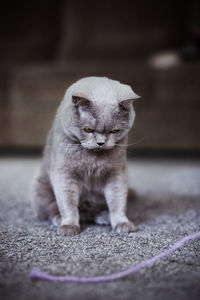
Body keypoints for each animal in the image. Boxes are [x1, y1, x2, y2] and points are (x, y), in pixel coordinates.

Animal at [32, 76, 140, 236]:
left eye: (114, 131)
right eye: (88, 129)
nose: (101, 142)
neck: (92, 159)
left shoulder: (117, 173)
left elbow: (117, 199)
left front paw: (122, 223)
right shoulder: (64, 172)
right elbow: (67, 202)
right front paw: (69, 226)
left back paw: (103, 216)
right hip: (39, 185)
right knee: (49, 207)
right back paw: (59, 218)